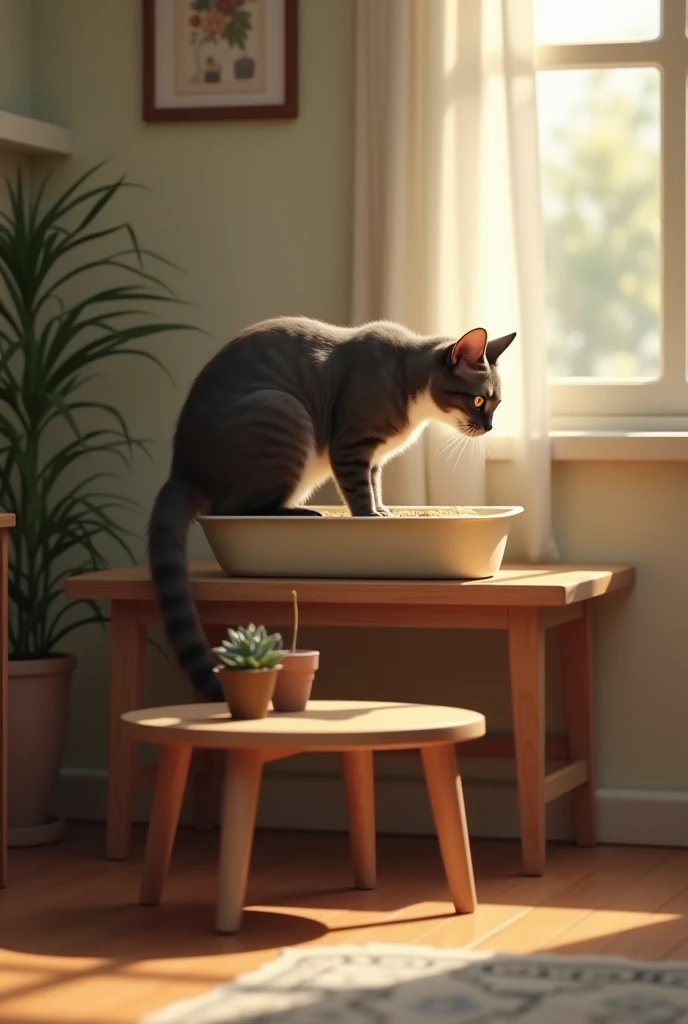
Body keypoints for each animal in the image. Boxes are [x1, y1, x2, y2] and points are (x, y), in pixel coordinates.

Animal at [150, 315, 516, 700]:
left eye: (497, 403)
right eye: (479, 400)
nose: (489, 428)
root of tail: (183, 469)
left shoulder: (374, 459)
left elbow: (375, 488)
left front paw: (385, 513)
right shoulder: (351, 446)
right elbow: (359, 493)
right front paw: (371, 517)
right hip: (283, 412)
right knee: (235, 508)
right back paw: (304, 514)